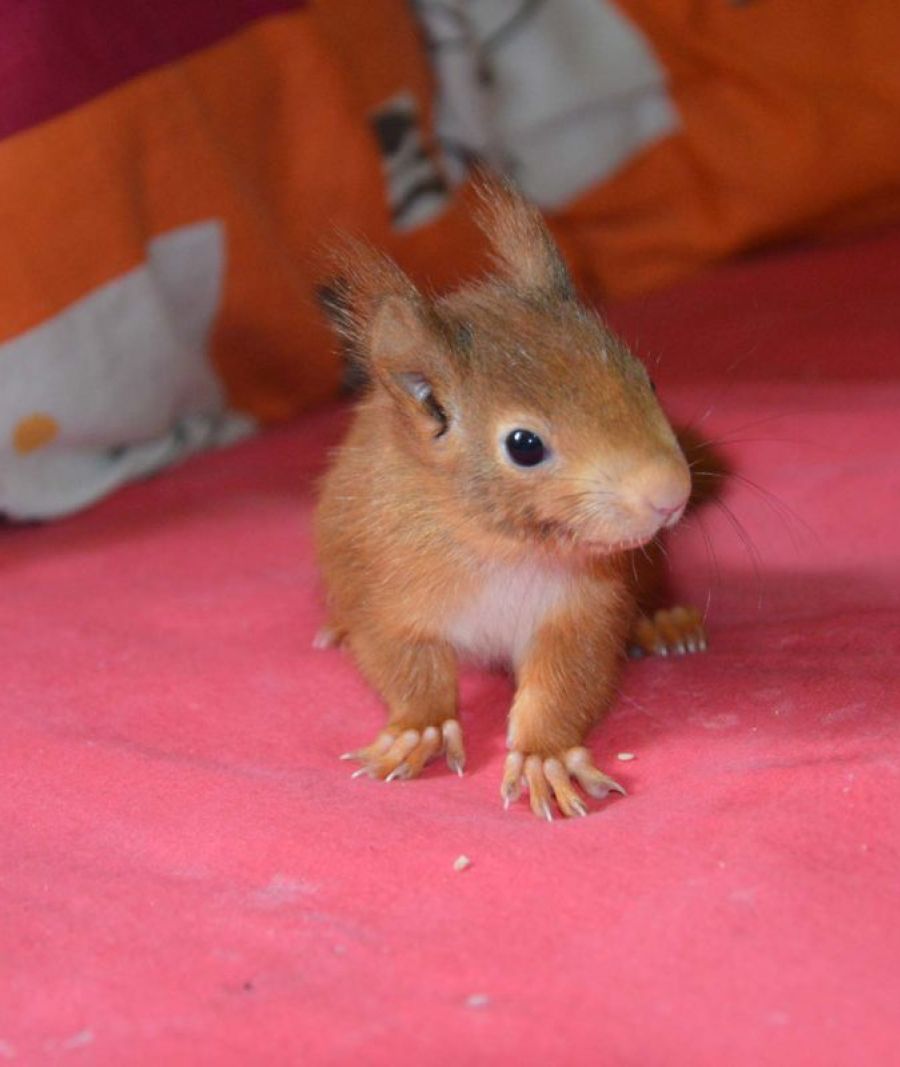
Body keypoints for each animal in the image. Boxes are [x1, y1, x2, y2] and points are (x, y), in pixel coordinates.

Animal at [314, 178, 705, 820]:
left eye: (646, 379)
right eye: (524, 446)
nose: (671, 493)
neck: (499, 547)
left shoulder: (583, 604)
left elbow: (565, 676)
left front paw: (545, 755)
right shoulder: (385, 584)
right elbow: (401, 657)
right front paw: (419, 727)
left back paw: (663, 619)